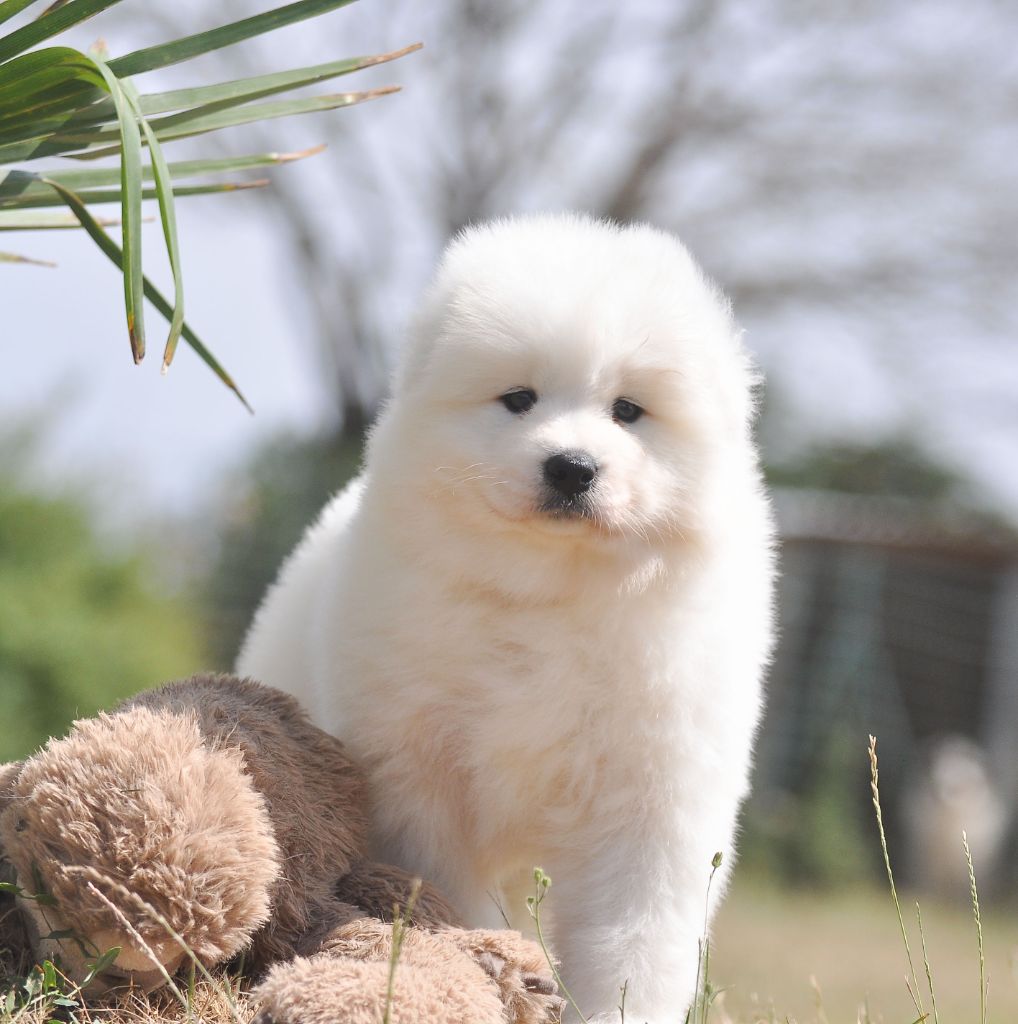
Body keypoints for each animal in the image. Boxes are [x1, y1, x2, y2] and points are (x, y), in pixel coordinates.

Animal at [239, 211, 778, 1019]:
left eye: (628, 411)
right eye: (518, 398)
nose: (572, 467)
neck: (549, 594)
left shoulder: (653, 797)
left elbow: (633, 941)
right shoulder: (421, 783)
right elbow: (452, 898)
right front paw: (479, 972)